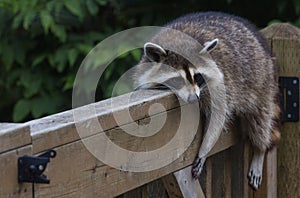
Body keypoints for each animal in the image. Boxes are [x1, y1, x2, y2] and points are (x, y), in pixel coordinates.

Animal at [133, 11, 278, 190]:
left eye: (198, 77)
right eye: (178, 80)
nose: (193, 98)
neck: (178, 39)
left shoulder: (219, 84)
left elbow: (218, 114)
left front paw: (204, 149)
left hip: (262, 80)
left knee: (260, 120)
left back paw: (259, 150)